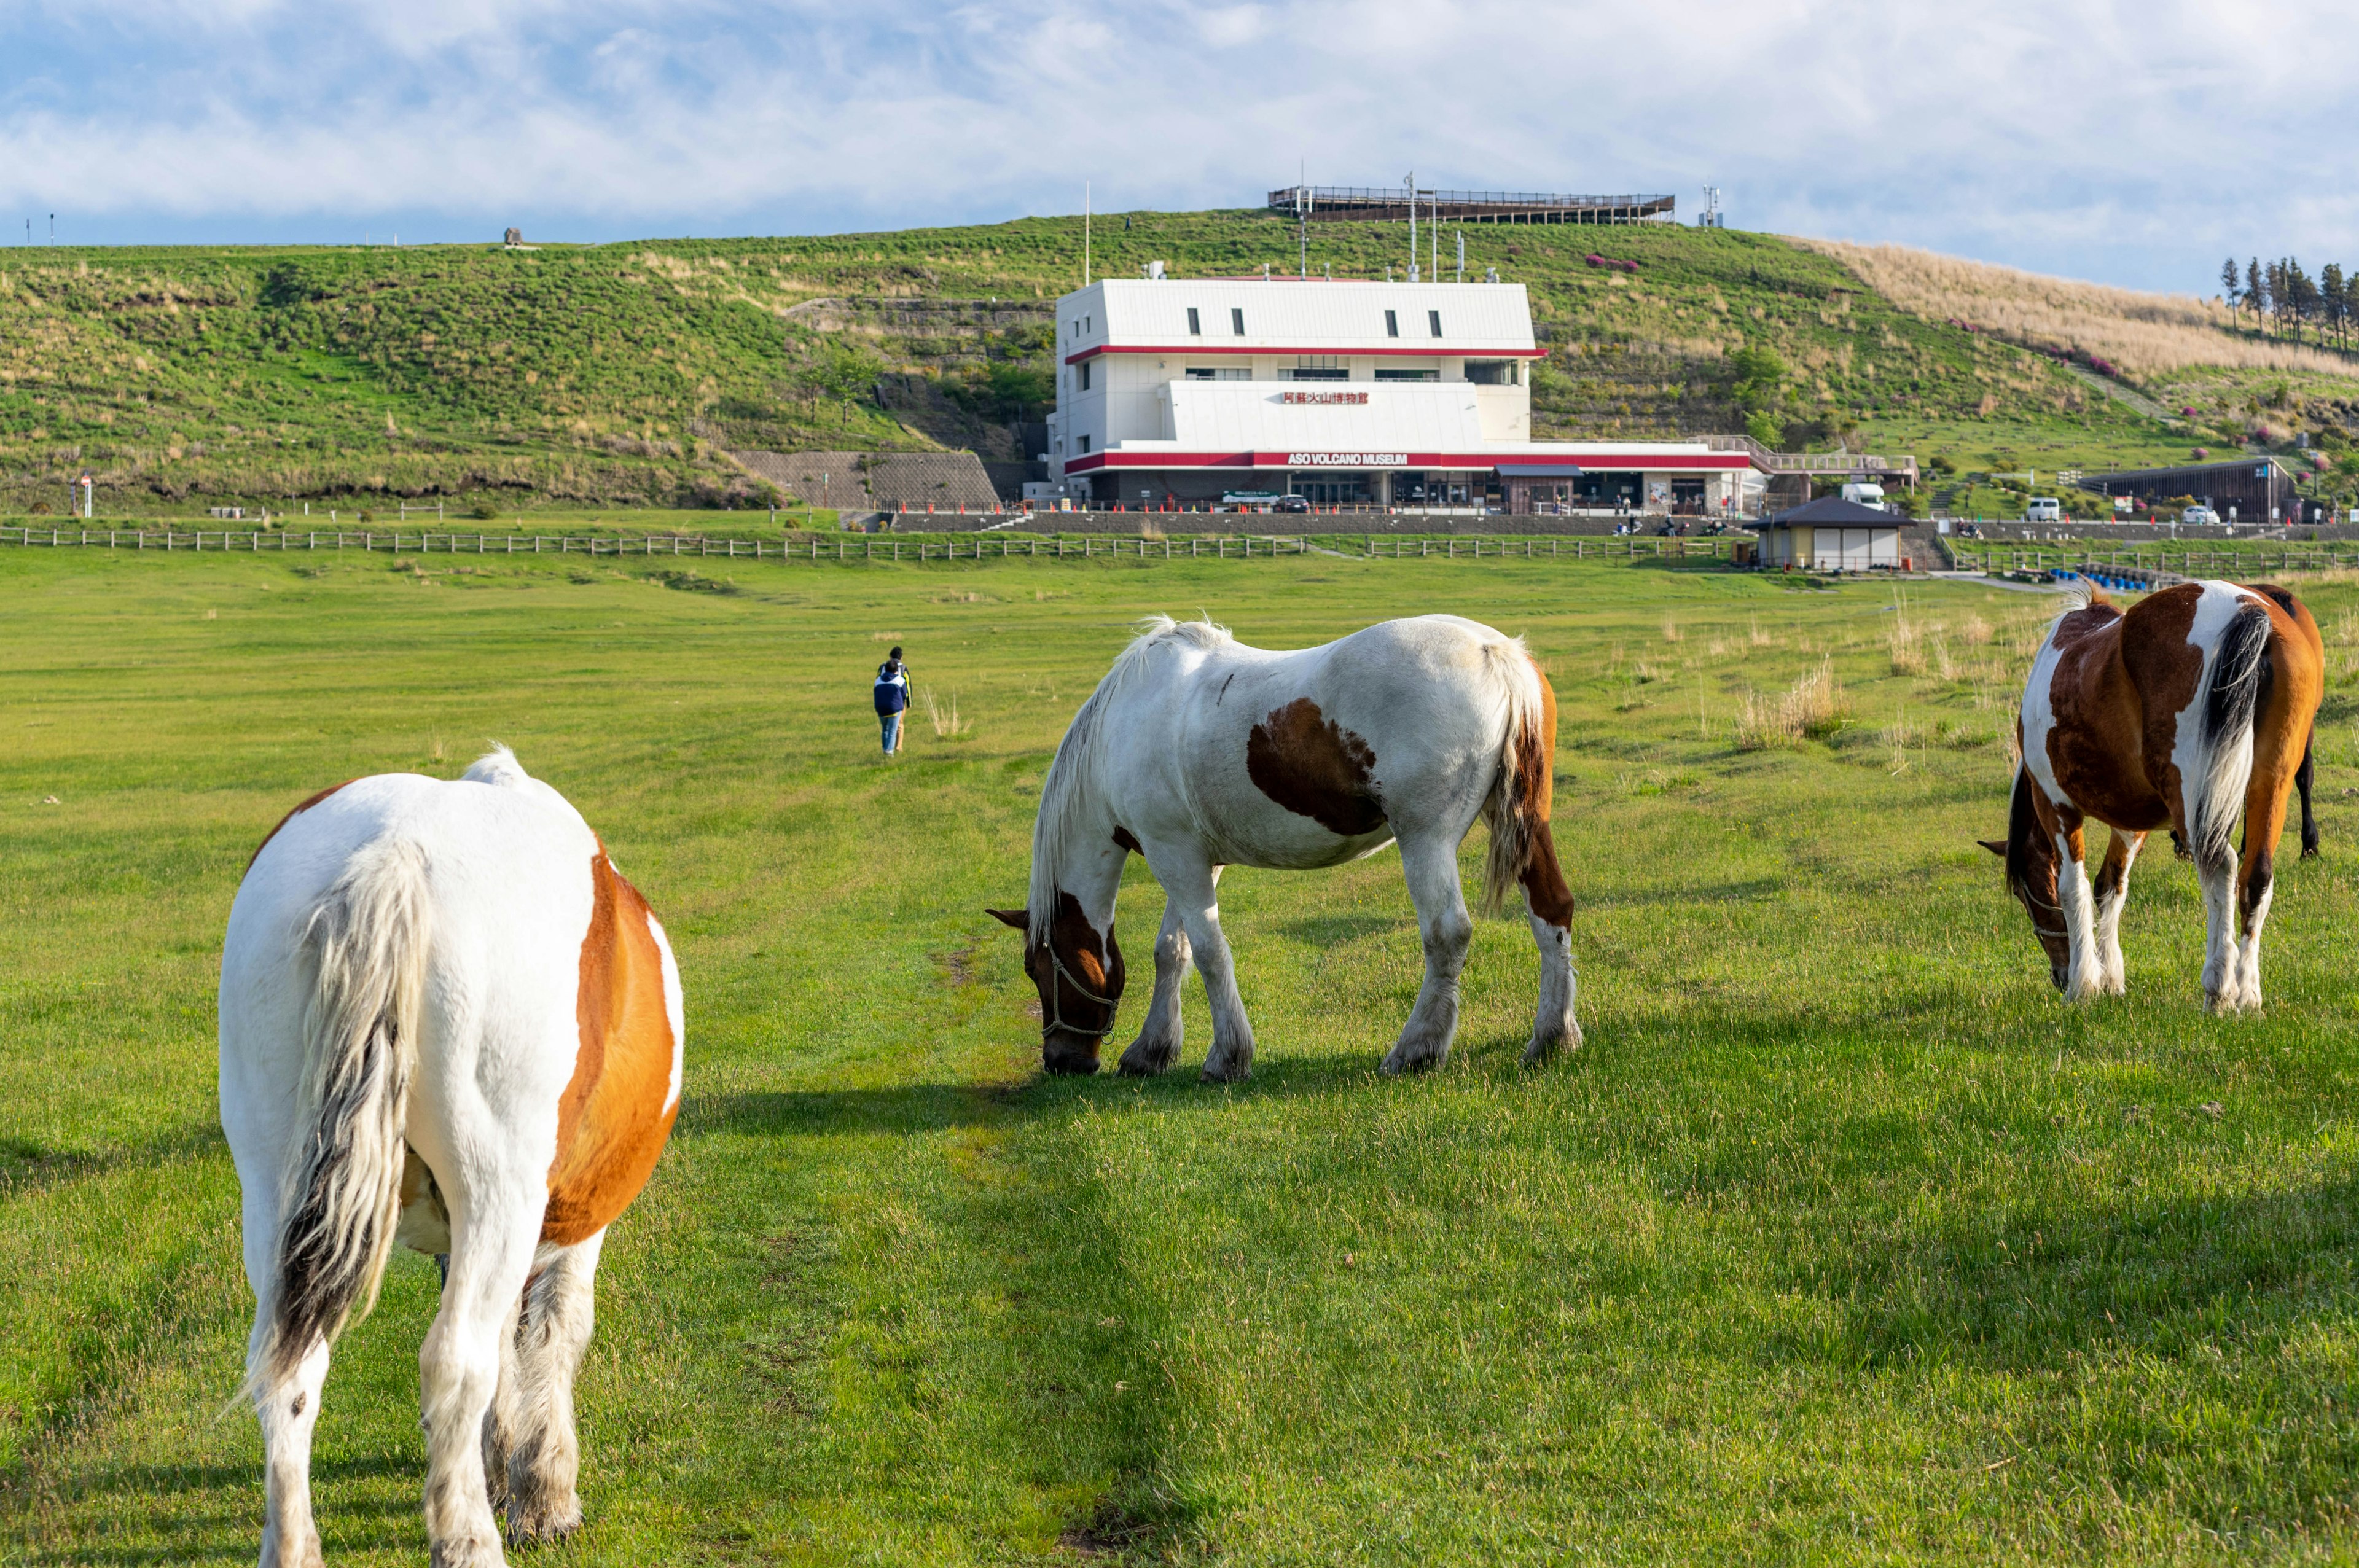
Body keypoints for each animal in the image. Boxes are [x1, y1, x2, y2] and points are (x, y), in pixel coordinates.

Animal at [219, 745, 684, 1566]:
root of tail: (395, 849)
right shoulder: (573, 1219)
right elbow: (552, 1332)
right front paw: (543, 1493)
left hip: (273, 1184)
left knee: (288, 1364)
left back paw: (296, 1544)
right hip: (499, 1186)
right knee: (454, 1359)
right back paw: (468, 1539)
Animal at [986, 613, 1576, 1075]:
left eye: (1036, 968)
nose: (1061, 1061)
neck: (1125, 722)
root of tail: (1496, 653)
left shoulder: (1173, 854)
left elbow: (1209, 952)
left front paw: (1227, 1057)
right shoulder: (1195, 858)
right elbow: (1171, 950)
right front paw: (1152, 1050)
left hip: (1425, 841)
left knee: (1447, 935)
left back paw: (1415, 1050)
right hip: (1524, 824)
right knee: (1552, 910)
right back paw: (1552, 1037)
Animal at [1981, 580, 2330, 1009]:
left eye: (2024, 894)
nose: (2059, 976)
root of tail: (2249, 610)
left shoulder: (2056, 806)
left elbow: (2074, 889)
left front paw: (2084, 985)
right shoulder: (2130, 821)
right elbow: (2110, 887)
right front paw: (2110, 978)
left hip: (2196, 804)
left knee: (2220, 868)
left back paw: (2218, 989)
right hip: (2270, 785)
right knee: (2256, 875)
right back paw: (2247, 994)